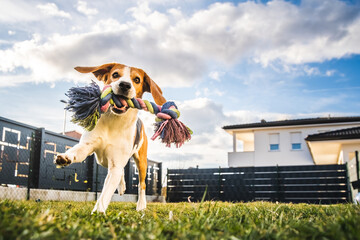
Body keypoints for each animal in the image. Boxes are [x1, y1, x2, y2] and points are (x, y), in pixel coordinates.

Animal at [54, 63, 166, 212]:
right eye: (115, 75)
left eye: (137, 80)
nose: (125, 85)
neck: (114, 121)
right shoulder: (87, 146)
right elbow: (76, 151)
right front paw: (66, 157)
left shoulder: (116, 165)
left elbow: (105, 194)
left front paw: (98, 212)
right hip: (105, 161)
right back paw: (122, 186)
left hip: (141, 161)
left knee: (141, 184)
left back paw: (141, 205)